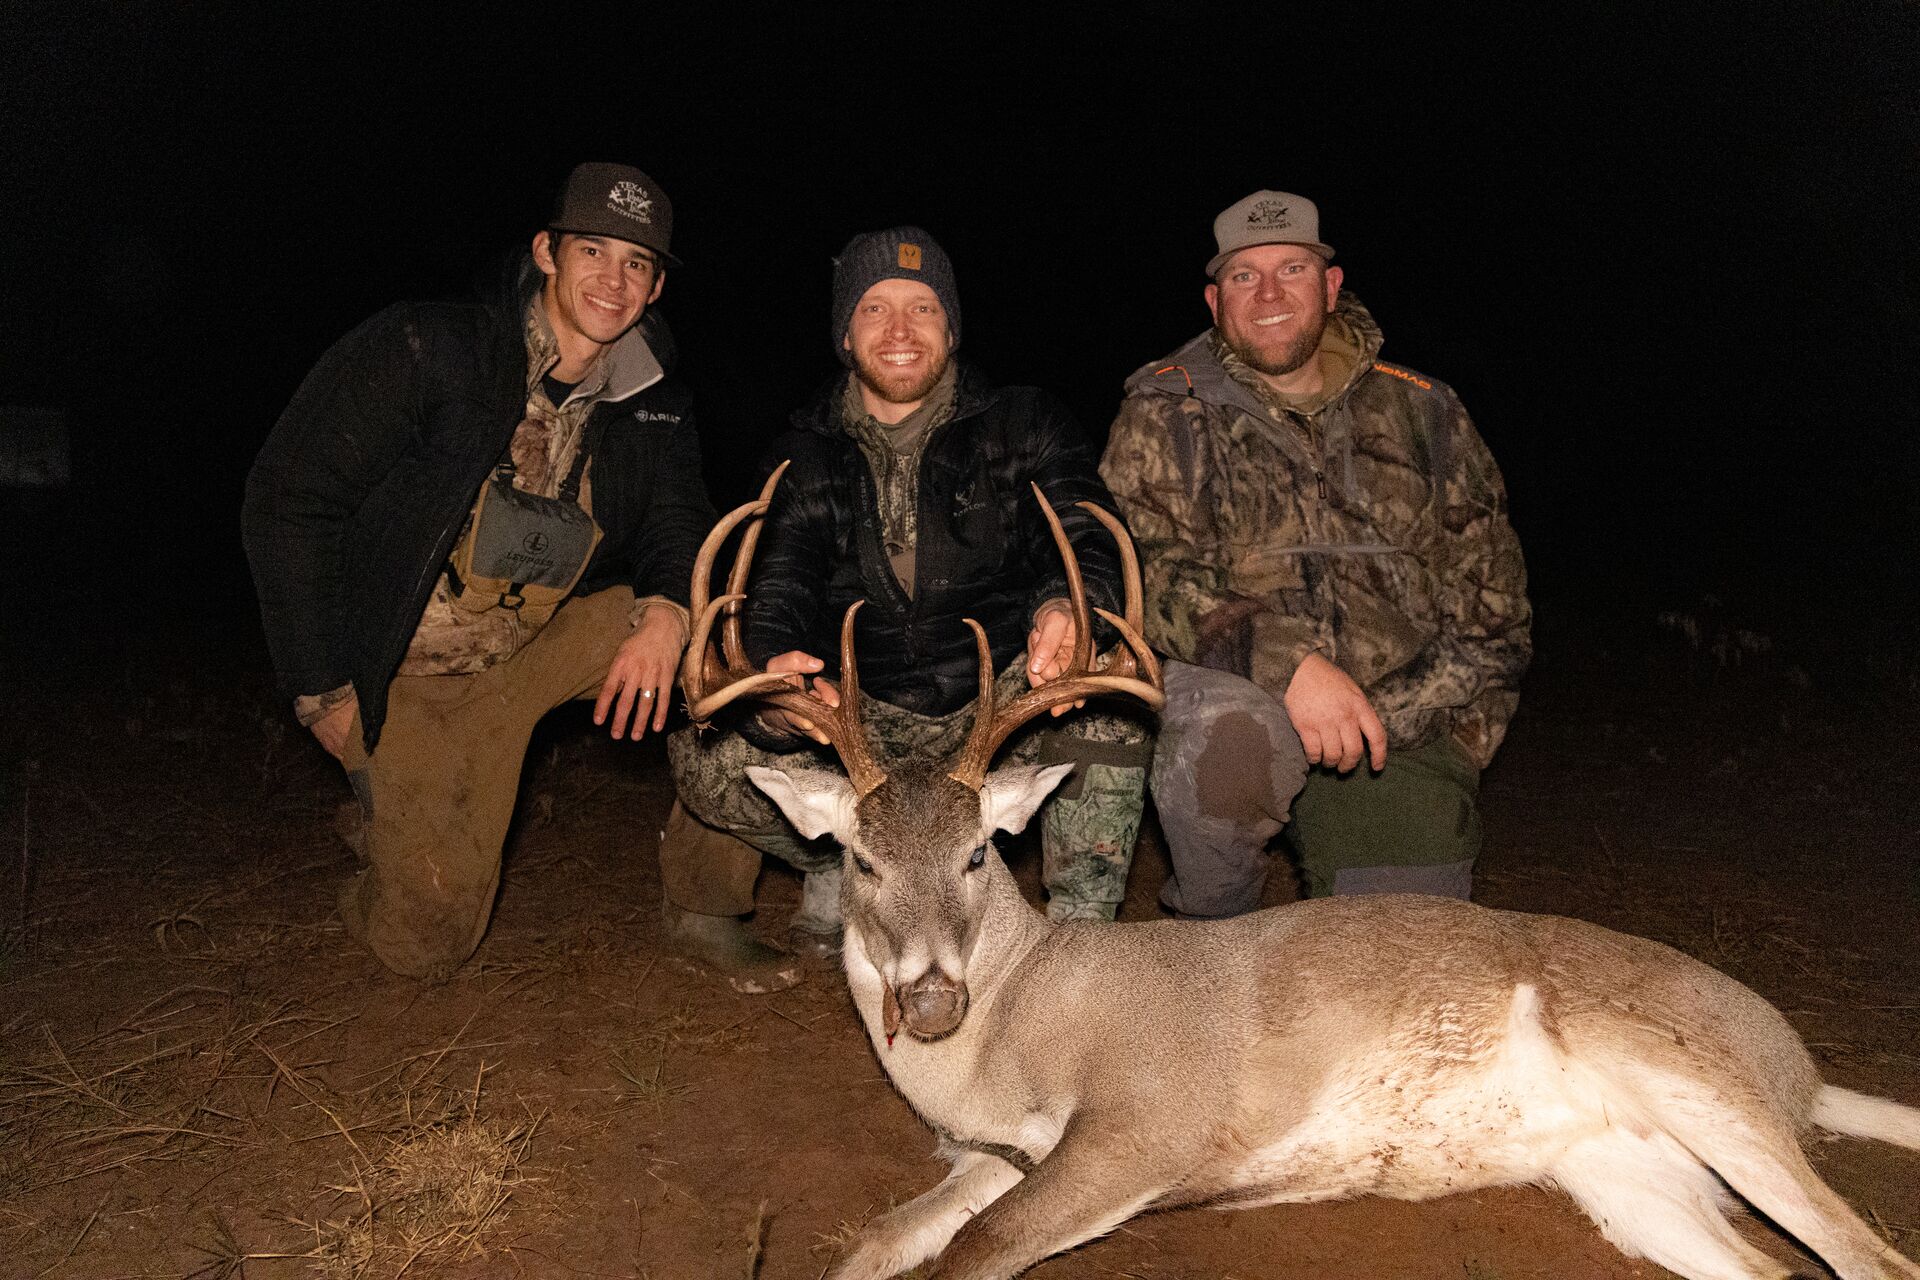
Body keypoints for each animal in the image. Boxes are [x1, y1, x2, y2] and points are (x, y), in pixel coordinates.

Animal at [678, 469, 1920, 1280]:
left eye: (983, 848)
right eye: (863, 855)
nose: (931, 998)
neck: (1015, 1021)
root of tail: (1802, 1065)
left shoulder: (1150, 1122)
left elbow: (976, 1251)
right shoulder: (1000, 1151)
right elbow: (879, 1240)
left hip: (1697, 1079)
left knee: (1868, 1255)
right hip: (1629, 1175)